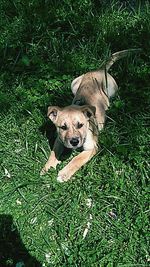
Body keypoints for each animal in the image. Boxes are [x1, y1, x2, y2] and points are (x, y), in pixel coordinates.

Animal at [40, 48, 140, 182]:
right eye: (63, 127)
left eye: (80, 125)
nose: (74, 142)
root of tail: (99, 69)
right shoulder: (59, 140)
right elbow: (53, 153)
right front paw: (46, 168)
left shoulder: (92, 148)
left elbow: (77, 159)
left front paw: (64, 173)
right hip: (74, 83)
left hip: (112, 90)